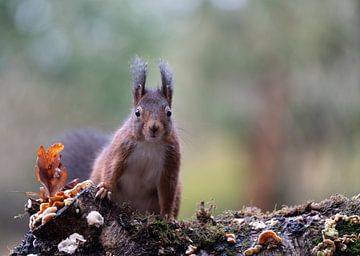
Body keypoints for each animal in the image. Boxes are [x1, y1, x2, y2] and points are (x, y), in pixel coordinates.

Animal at [60, 57, 183, 219]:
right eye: (137, 112)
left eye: (169, 113)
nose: (154, 127)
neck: (149, 144)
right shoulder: (122, 147)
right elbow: (112, 166)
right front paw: (105, 188)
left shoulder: (171, 158)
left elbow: (168, 188)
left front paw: (168, 215)